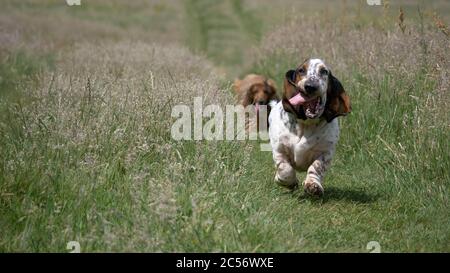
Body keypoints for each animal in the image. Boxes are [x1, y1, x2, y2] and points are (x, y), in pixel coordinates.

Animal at [268, 58, 352, 194]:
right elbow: (285, 168)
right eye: (301, 70)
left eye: (324, 71)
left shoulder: (325, 152)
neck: (306, 124)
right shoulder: (279, 149)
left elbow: (316, 167)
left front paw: (313, 185)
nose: (310, 86)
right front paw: (288, 181)